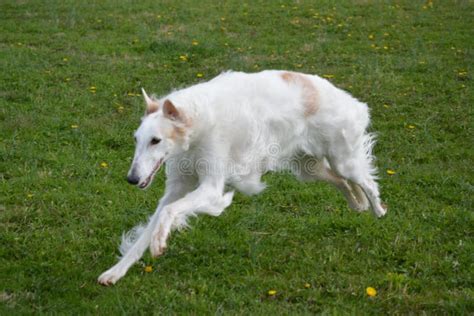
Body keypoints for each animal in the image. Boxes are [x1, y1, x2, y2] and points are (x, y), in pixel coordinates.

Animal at [98, 70, 386, 286]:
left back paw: (378, 210)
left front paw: (159, 243)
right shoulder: (177, 188)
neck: (198, 120)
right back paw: (357, 204)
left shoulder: (211, 187)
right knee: (344, 184)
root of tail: (350, 100)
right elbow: (149, 229)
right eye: (136, 139)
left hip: (343, 161)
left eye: (155, 140)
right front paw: (115, 272)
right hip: (309, 169)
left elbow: (170, 213)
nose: (132, 179)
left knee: (367, 183)